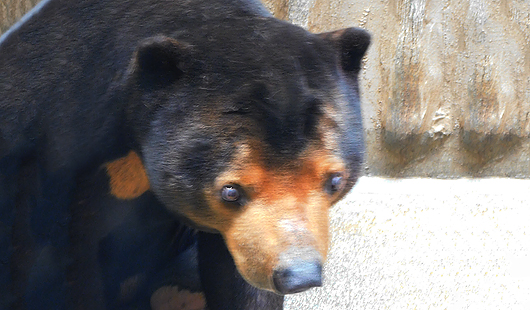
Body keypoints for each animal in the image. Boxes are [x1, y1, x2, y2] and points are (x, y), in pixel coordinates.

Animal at [0, 0, 370, 308]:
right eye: (230, 191)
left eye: (334, 180)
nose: (299, 276)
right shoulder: (51, 165)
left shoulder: (231, 233)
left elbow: (239, 276)